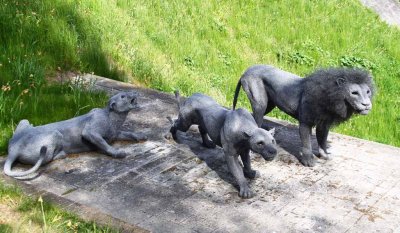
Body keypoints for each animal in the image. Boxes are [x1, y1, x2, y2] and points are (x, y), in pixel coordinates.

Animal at [231, 64, 376, 167]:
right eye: (354, 93)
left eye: (368, 91)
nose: (366, 104)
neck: (331, 96)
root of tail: (246, 71)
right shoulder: (305, 122)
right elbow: (307, 143)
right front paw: (308, 161)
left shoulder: (324, 123)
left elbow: (322, 140)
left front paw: (324, 155)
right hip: (260, 102)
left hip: (269, 104)